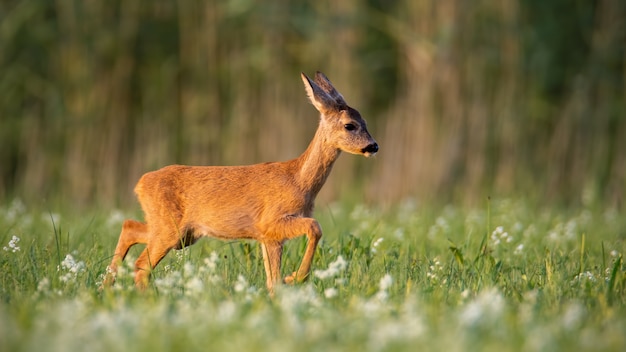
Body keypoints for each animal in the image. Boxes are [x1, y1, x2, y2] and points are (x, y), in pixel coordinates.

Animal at [102, 71, 376, 294]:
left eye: (366, 122)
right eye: (350, 125)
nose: (373, 146)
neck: (299, 181)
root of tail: (140, 183)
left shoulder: (268, 237)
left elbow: (272, 281)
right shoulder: (271, 221)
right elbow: (315, 227)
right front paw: (296, 278)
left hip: (182, 234)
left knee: (129, 227)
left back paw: (107, 286)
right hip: (171, 229)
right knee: (141, 264)